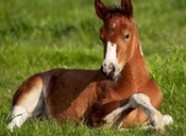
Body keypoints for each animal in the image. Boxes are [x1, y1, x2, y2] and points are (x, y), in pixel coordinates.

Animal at [7, 0, 173, 132]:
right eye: (101, 37)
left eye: (126, 35)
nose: (108, 69)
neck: (136, 82)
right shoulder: (95, 116)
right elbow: (136, 98)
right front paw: (156, 120)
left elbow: (168, 118)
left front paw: (156, 124)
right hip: (27, 98)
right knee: (12, 125)